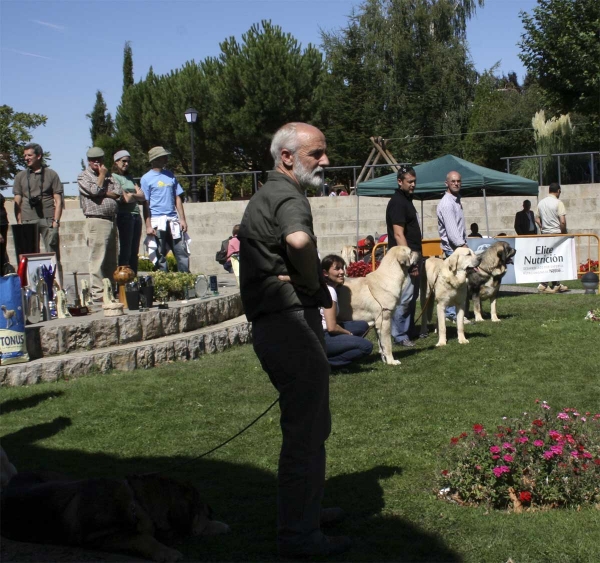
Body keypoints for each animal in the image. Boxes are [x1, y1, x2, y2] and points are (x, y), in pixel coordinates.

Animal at [0, 472, 227, 563]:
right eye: (198, 505)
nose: (212, 510)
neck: (137, 503)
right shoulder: (100, 538)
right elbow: (142, 537)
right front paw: (166, 552)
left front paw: (219, 525)